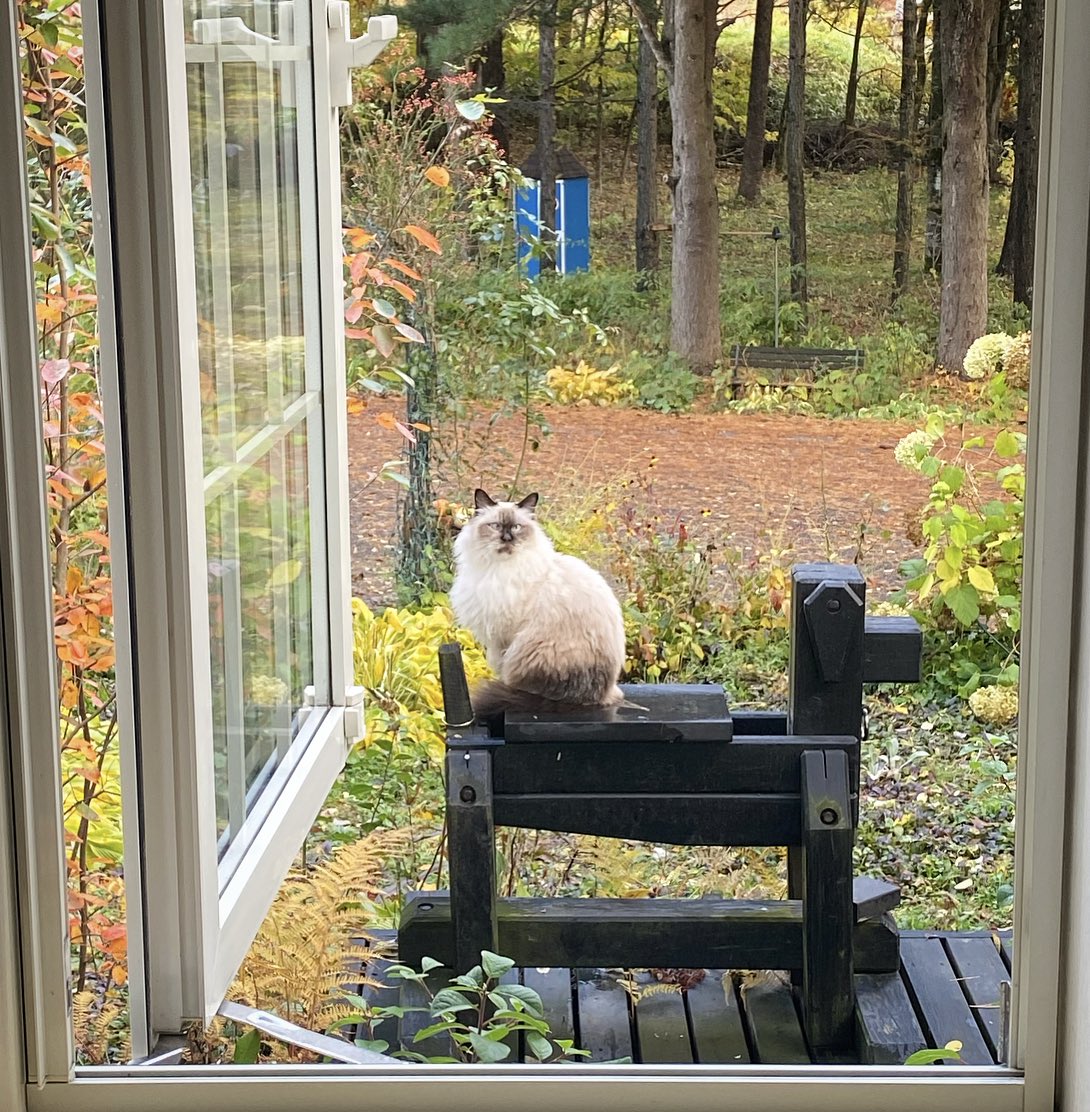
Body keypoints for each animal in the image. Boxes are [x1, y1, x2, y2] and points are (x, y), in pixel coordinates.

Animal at [450, 488, 627, 719]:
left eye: (516, 527)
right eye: (496, 526)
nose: (507, 538)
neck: (496, 569)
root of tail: (600, 695)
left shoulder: (502, 638)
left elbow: (500, 666)